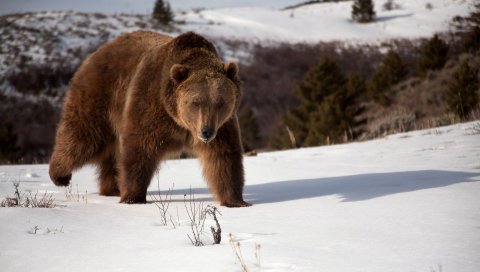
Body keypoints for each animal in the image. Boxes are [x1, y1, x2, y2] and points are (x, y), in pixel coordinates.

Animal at [48, 30, 251, 207]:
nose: (206, 132)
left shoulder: (223, 125)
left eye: (220, 102)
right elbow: (140, 149)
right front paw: (133, 198)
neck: (179, 121)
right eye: (195, 102)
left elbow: (224, 157)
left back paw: (111, 188)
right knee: (83, 136)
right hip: (100, 97)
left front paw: (235, 201)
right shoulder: (151, 105)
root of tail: (98, 51)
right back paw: (59, 176)